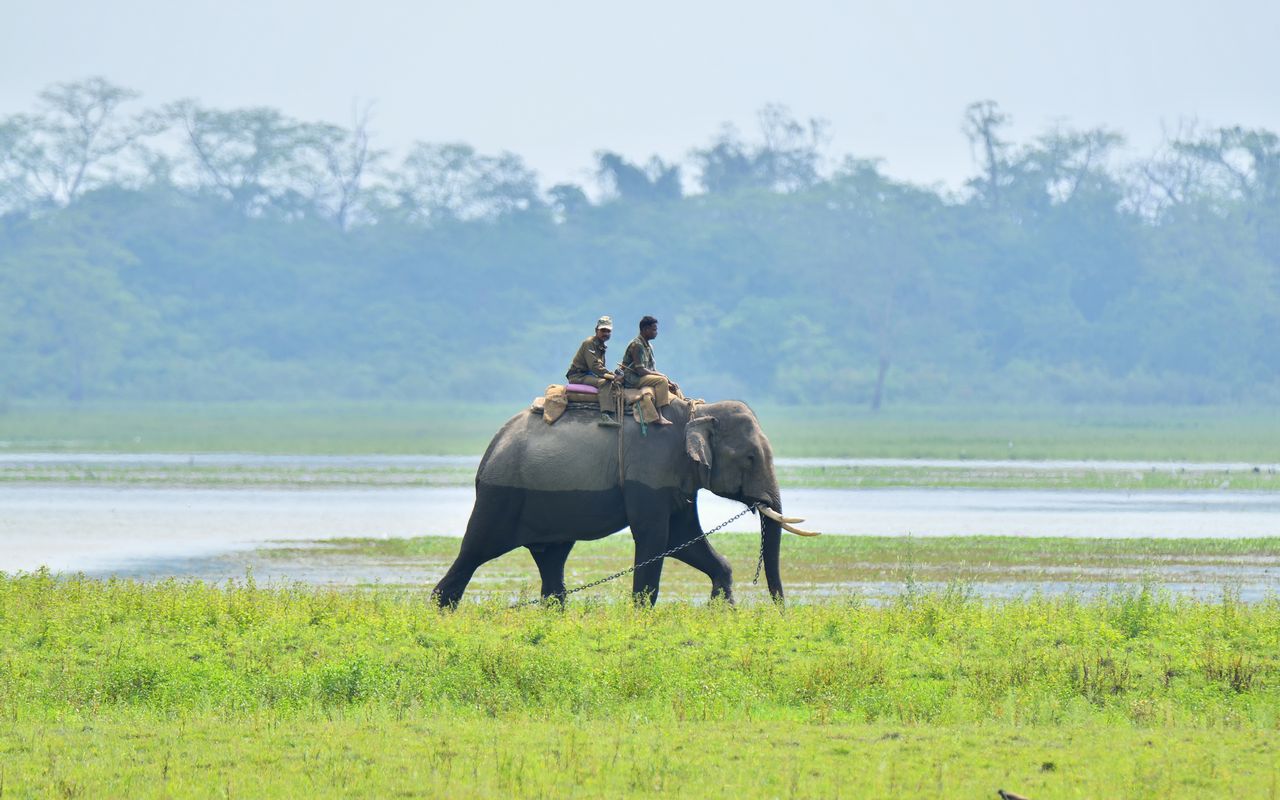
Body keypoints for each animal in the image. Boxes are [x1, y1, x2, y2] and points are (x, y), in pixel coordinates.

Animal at [427, 399, 808, 604]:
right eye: (750, 458)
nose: (780, 611)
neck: (697, 411)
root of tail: (493, 446)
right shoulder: (649, 471)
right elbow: (656, 539)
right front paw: (641, 617)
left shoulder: (676, 479)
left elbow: (683, 539)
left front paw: (724, 608)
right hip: (500, 497)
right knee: (473, 553)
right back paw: (440, 609)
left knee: (552, 564)